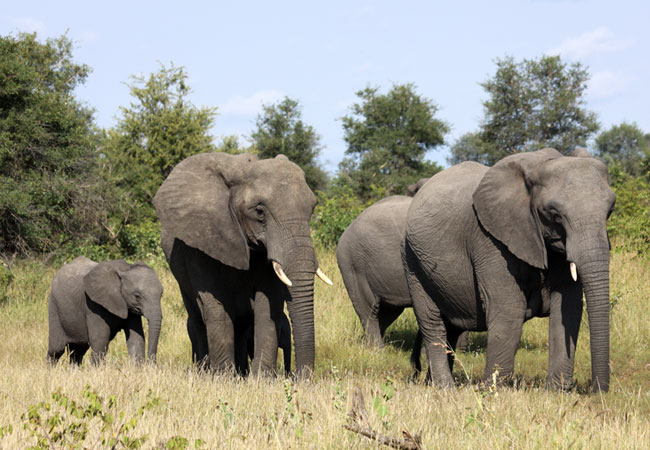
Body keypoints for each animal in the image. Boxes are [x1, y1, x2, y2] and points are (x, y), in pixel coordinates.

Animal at [154, 151, 332, 376]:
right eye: (259, 212)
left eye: (312, 208)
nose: (300, 377)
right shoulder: (202, 243)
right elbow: (216, 308)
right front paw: (223, 378)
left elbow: (268, 306)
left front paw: (260, 379)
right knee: (197, 316)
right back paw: (206, 372)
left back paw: (241, 372)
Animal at [402, 149, 616, 394]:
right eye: (554, 214)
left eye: (610, 211)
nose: (597, 391)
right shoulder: (489, 239)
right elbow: (508, 307)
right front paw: (493, 391)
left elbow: (568, 306)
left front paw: (556, 393)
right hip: (412, 260)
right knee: (431, 321)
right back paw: (445, 388)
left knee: (452, 326)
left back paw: (433, 383)